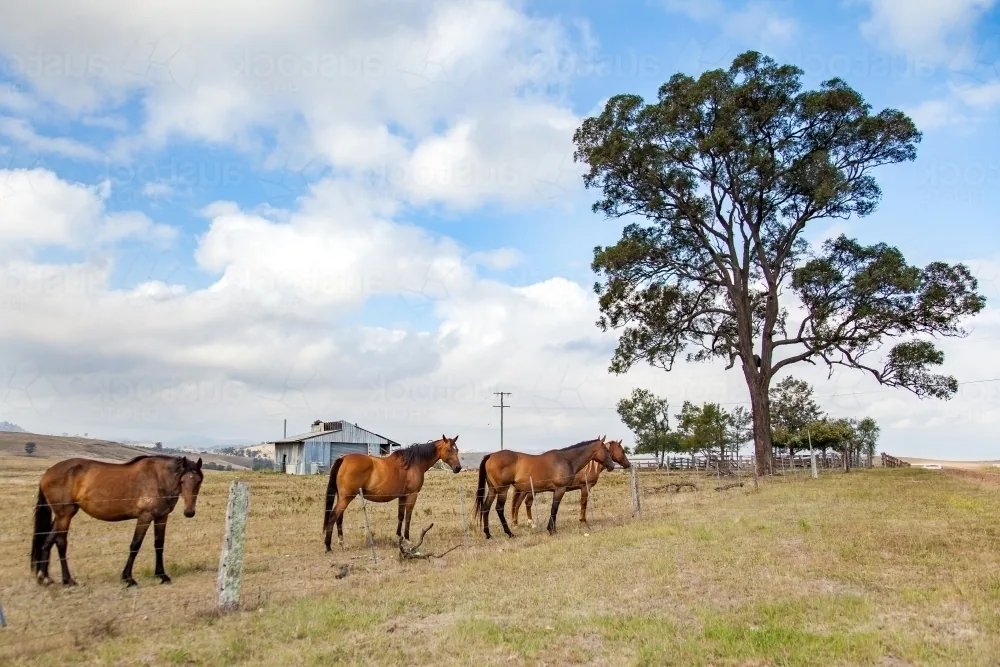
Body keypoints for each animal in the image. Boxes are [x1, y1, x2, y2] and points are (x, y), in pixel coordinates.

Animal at [30, 455, 204, 588]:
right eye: (182, 481)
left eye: (198, 481)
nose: (189, 512)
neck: (158, 478)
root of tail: (48, 472)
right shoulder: (145, 516)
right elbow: (135, 545)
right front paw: (128, 578)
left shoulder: (161, 517)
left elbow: (159, 545)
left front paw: (162, 575)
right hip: (65, 514)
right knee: (60, 542)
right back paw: (68, 580)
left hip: (62, 515)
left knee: (48, 541)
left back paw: (44, 577)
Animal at [323, 435, 462, 551]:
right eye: (449, 450)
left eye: (457, 450)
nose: (458, 468)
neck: (413, 463)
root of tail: (343, 458)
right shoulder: (412, 495)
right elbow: (408, 517)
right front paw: (407, 539)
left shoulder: (402, 496)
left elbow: (400, 516)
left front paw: (398, 537)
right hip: (346, 497)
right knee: (333, 516)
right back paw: (328, 546)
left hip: (343, 497)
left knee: (339, 517)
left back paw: (342, 543)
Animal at [473, 436, 614, 539]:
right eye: (606, 450)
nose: (612, 466)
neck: (566, 459)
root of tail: (491, 456)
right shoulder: (560, 489)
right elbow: (554, 509)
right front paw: (551, 530)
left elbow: (554, 509)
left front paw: (552, 529)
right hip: (503, 490)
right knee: (499, 508)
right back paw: (509, 533)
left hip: (493, 490)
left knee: (485, 508)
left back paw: (488, 534)